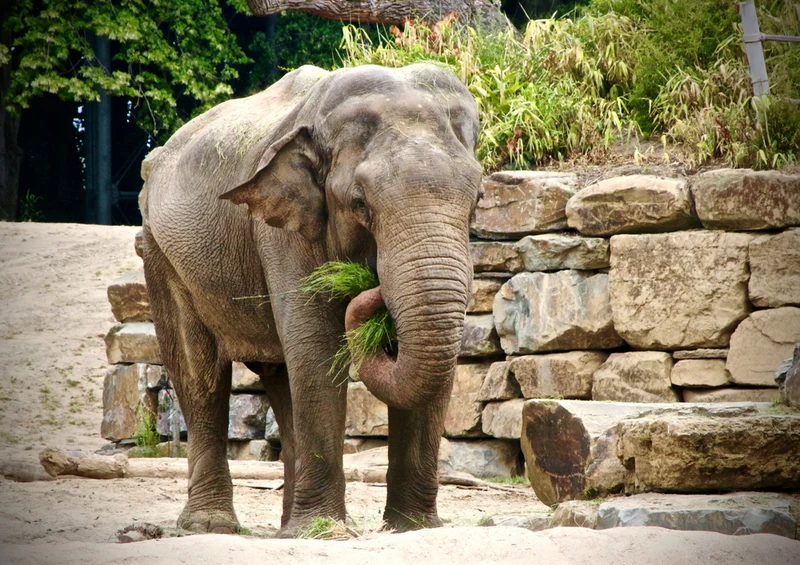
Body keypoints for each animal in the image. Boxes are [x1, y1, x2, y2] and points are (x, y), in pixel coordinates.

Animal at [139, 63, 483, 537]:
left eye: (477, 201)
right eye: (360, 203)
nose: (370, 284)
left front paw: (414, 529)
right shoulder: (282, 231)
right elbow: (317, 347)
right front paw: (328, 532)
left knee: (281, 376)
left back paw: (288, 528)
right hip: (159, 253)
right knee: (199, 374)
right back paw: (212, 525)